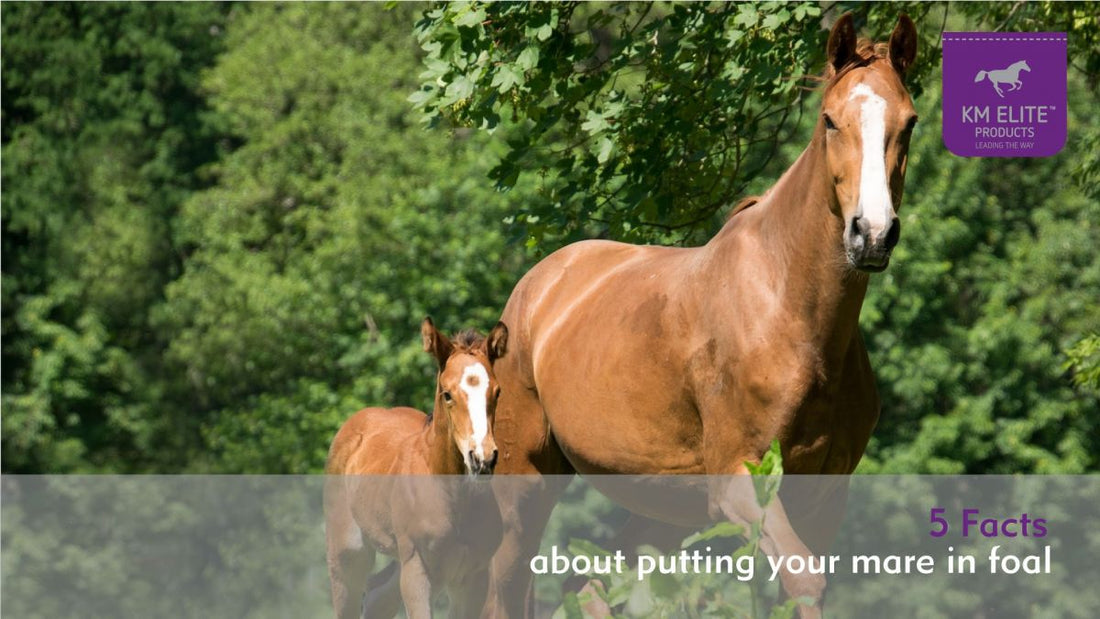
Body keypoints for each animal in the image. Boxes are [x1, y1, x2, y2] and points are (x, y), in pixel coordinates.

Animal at [324, 317, 509, 619]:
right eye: (447, 394)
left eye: (497, 391)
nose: (482, 459)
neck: (453, 499)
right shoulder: (416, 571)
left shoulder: (473, 577)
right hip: (348, 553)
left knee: (377, 597)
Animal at [484, 14, 918, 619]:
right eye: (831, 120)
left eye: (909, 122)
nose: (872, 234)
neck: (789, 312)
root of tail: (537, 286)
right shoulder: (738, 480)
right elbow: (804, 579)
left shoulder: (824, 493)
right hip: (525, 483)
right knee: (503, 581)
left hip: (655, 500)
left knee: (586, 585)